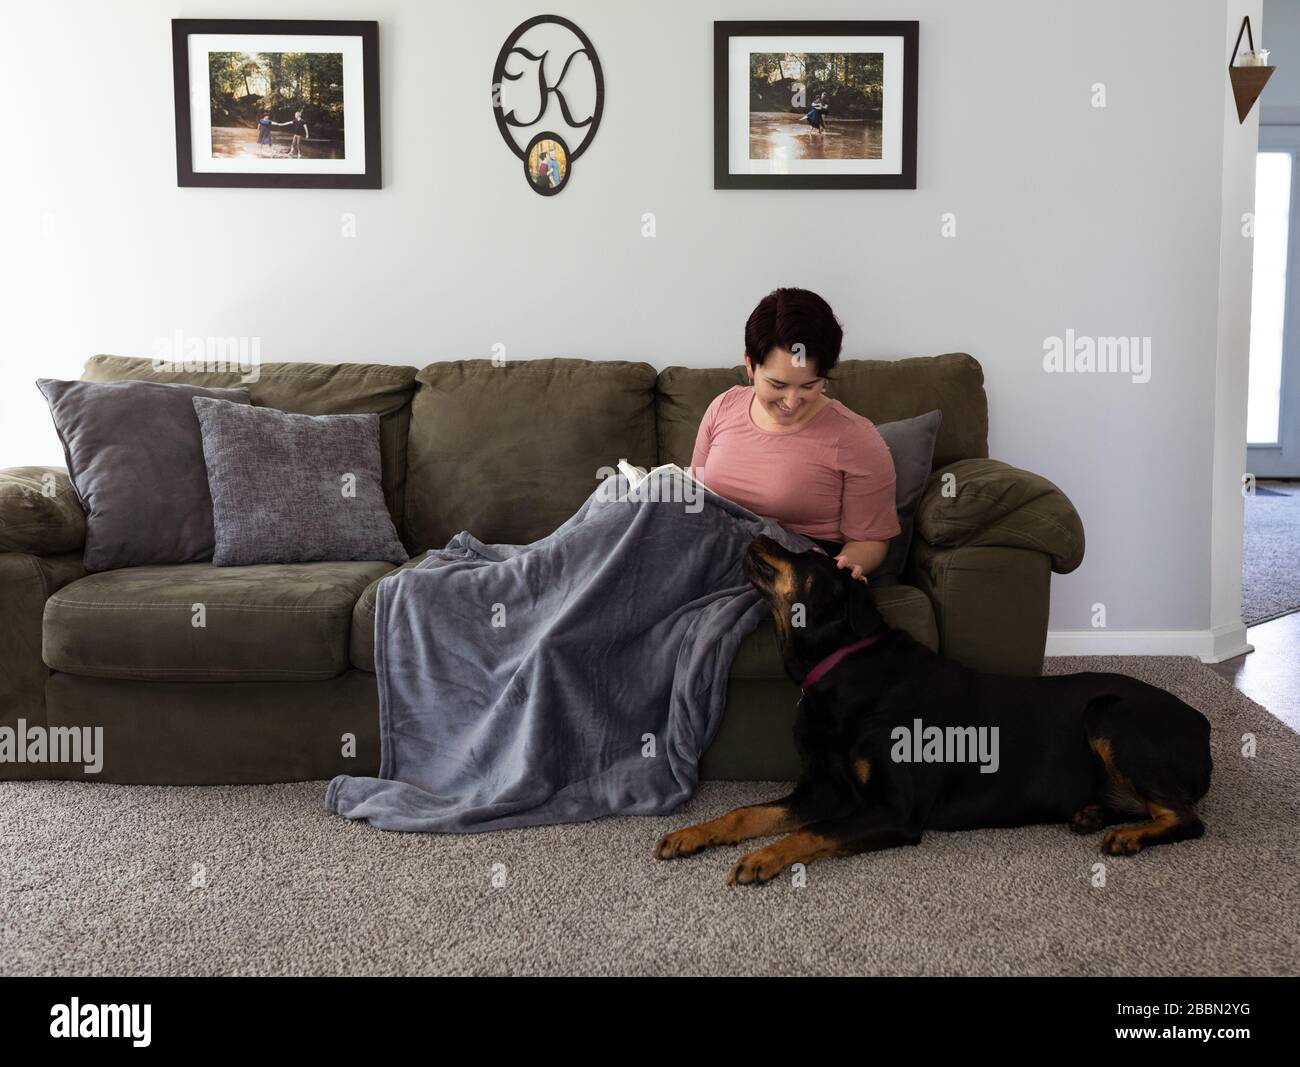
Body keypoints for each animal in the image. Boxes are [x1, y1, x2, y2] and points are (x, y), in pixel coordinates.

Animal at [655, 532, 1211, 883]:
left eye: (810, 554)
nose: (757, 533)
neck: (839, 668)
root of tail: (1201, 722)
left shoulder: (894, 810)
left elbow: (812, 831)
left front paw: (762, 858)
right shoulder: (820, 789)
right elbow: (745, 812)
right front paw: (690, 834)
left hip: (1110, 716)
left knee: (1186, 816)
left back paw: (1129, 837)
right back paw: (1093, 814)